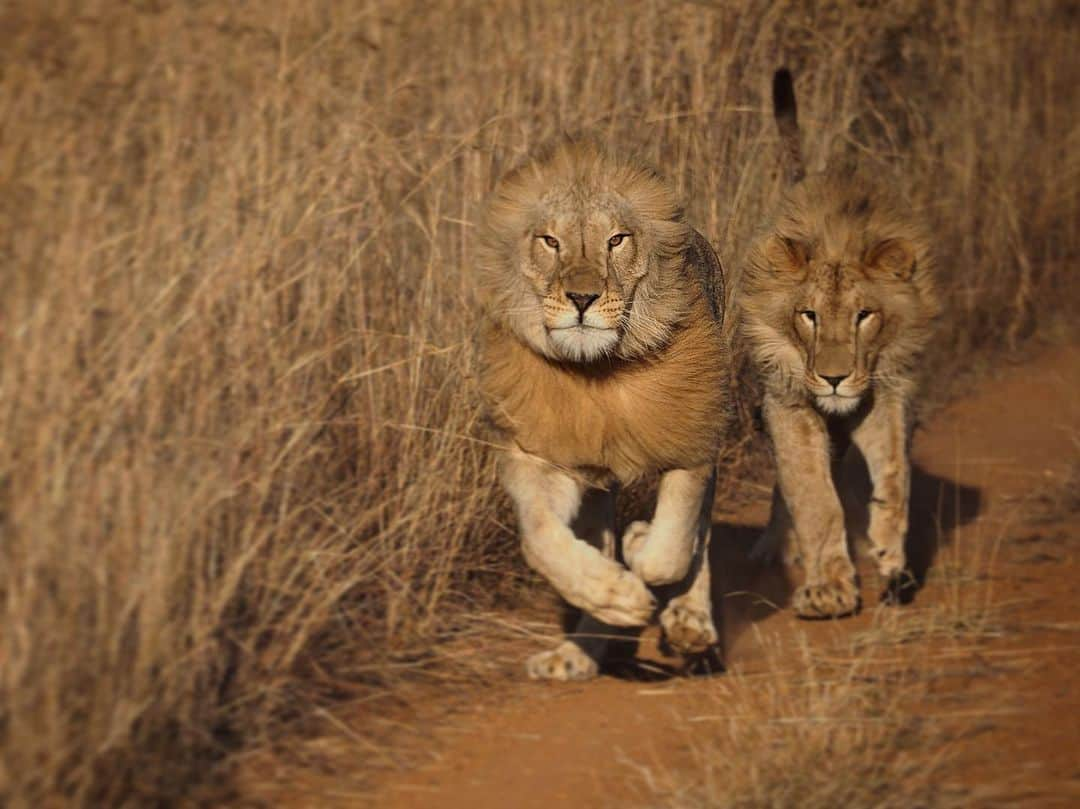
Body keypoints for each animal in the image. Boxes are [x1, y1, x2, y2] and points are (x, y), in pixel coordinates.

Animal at [477, 141, 730, 678]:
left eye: (616, 240)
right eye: (550, 241)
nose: (581, 297)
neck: (599, 371)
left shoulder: (692, 440)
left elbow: (673, 548)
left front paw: (643, 545)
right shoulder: (542, 455)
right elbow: (540, 538)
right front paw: (614, 593)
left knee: (697, 536)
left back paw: (688, 621)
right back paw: (580, 649)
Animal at [743, 70, 937, 617]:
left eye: (863, 316)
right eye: (807, 316)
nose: (833, 378)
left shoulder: (886, 393)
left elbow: (894, 478)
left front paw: (891, 558)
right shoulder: (787, 400)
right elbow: (813, 495)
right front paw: (829, 587)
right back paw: (777, 546)